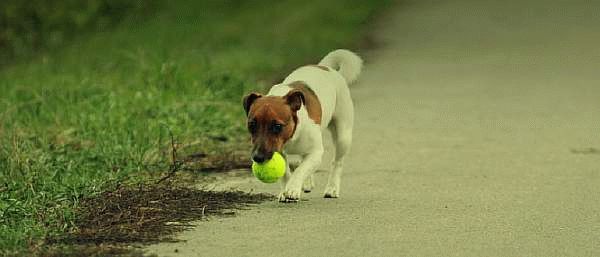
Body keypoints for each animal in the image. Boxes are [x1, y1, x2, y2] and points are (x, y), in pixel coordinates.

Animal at [243, 49, 360, 201]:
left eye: (277, 126)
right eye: (251, 125)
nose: (258, 157)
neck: (291, 136)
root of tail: (326, 68)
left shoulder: (316, 152)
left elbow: (300, 169)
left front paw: (292, 188)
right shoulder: (279, 151)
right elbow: (287, 172)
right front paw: (285, 190)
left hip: (343, 136)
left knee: (336, 162)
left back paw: (332, 188)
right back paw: (308, 183)